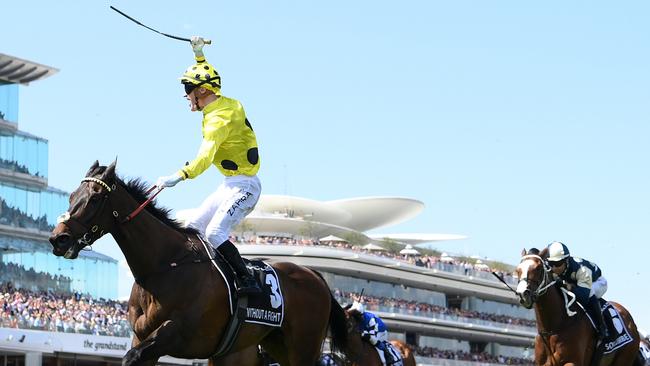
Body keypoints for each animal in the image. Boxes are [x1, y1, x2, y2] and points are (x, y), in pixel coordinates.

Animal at [48, 162, 346, 366]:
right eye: (72, 196)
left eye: (95, 198)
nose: (58, 239)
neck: (165, 265)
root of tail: (315, 275)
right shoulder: (141, 336)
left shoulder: (174, 333)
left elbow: (131, 357)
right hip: (252, 351)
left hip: (302, 349)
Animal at [512, 247, 640, 364]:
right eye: (518, 270)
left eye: (538, 268)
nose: (523, 294)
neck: (553, 328)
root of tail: (631, 322)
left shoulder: (572, 362)